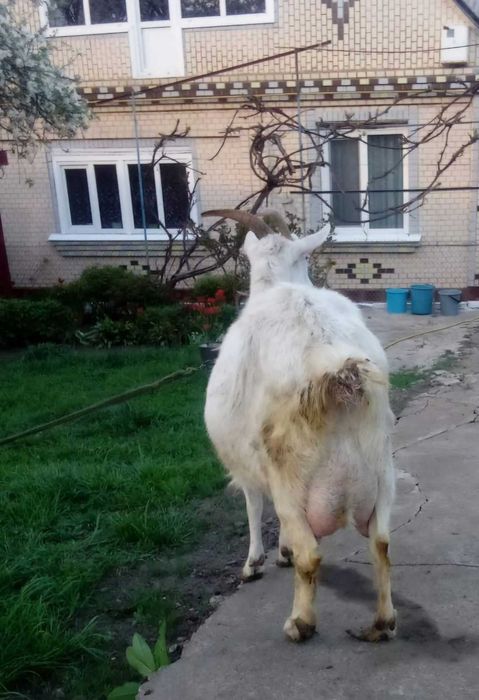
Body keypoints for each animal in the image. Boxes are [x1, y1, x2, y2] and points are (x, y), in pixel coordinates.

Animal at [203, 209, 396, 643]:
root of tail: (337, 372)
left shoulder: (249, 462)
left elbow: (253, 505)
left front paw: (258, 561)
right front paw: (281, 552)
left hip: (290, 476)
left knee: (311, 553)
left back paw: (300, 623)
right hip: (381, 471)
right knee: (381, 543)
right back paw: (382, 623)